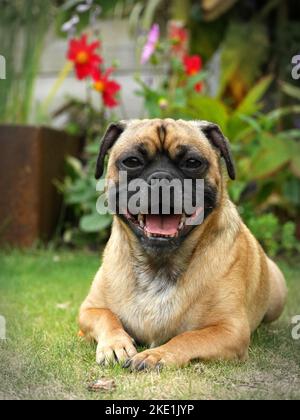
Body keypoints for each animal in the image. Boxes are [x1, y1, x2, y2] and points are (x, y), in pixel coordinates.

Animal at [78, 119, 288, 370]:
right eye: (132, 161)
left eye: (192, 163)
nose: (161, 179)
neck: (158, 265)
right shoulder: (89, 309)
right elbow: (107, 317)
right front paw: (115, 343)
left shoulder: (230, 330)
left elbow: (189, 337)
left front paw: (156, 355)